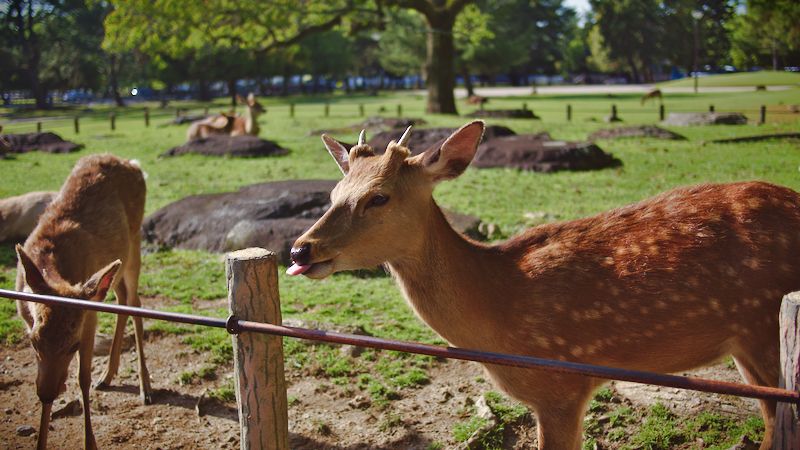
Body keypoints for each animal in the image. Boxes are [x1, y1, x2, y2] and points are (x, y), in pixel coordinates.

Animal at [14, 153, 151, 448]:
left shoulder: (88, 316)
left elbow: (82, 378)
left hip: (135, 241)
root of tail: (133, 163)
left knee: (135, 301)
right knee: (123, 298)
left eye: (73, 345)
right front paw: (40, 441)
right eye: (33, 342)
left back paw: (145, 387)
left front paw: (91, 442)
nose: (46, 393)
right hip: (117, 263)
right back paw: (108, 376)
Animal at [288, 121, 800, 448]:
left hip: (765, 328)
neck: (498, 310)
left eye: (379, 197)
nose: (299, 250)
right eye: (333, 194)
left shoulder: (562, 383)